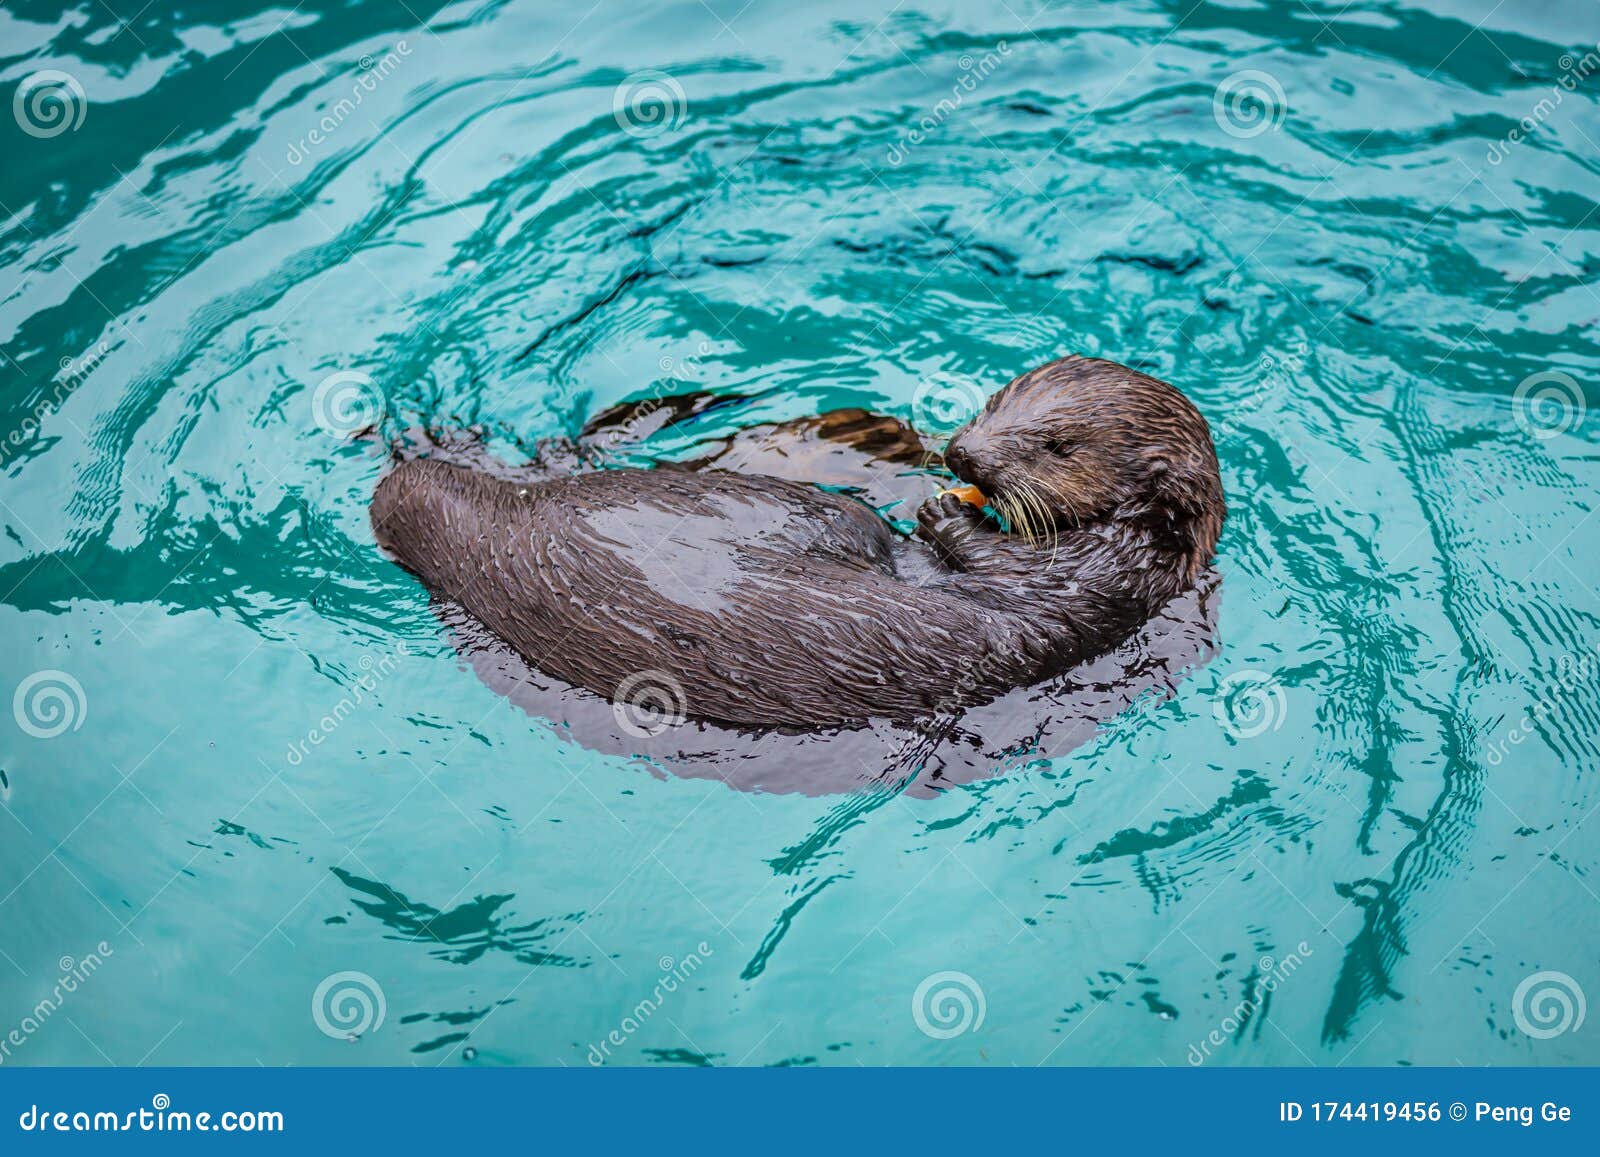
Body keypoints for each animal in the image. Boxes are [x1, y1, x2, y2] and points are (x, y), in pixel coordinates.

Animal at [370, 356, 1224, 731]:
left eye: (1057, 445)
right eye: (995, 401)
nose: (960, 454)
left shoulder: (1101, 577)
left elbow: (1011, 576)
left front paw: (947, 517)